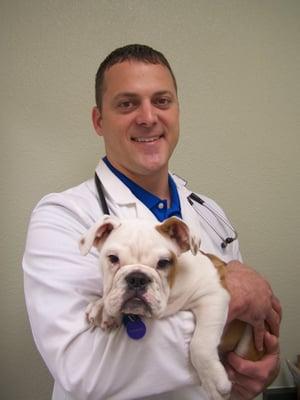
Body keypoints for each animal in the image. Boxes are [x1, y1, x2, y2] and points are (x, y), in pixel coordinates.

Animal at [79, 216, 262, 400]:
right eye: (113, 258)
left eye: (163, 262)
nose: (137, 278)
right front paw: (102, 307)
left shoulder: (213, 295)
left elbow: (200, 344)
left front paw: (213, 382)